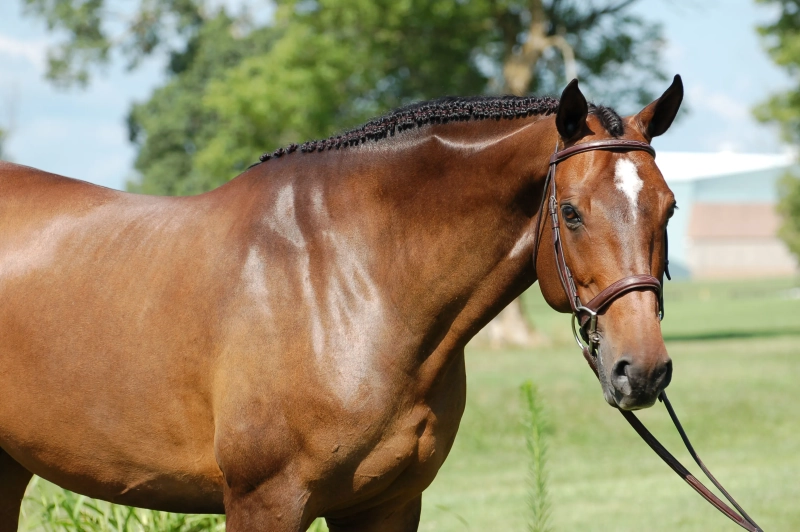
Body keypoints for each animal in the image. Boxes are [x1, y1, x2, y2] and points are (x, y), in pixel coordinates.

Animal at [0, 75, 682, 531]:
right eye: (571, 211)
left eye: (670, 207)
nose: (643, 370)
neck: (347, 281)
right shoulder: (265, 502)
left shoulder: (387, 504)